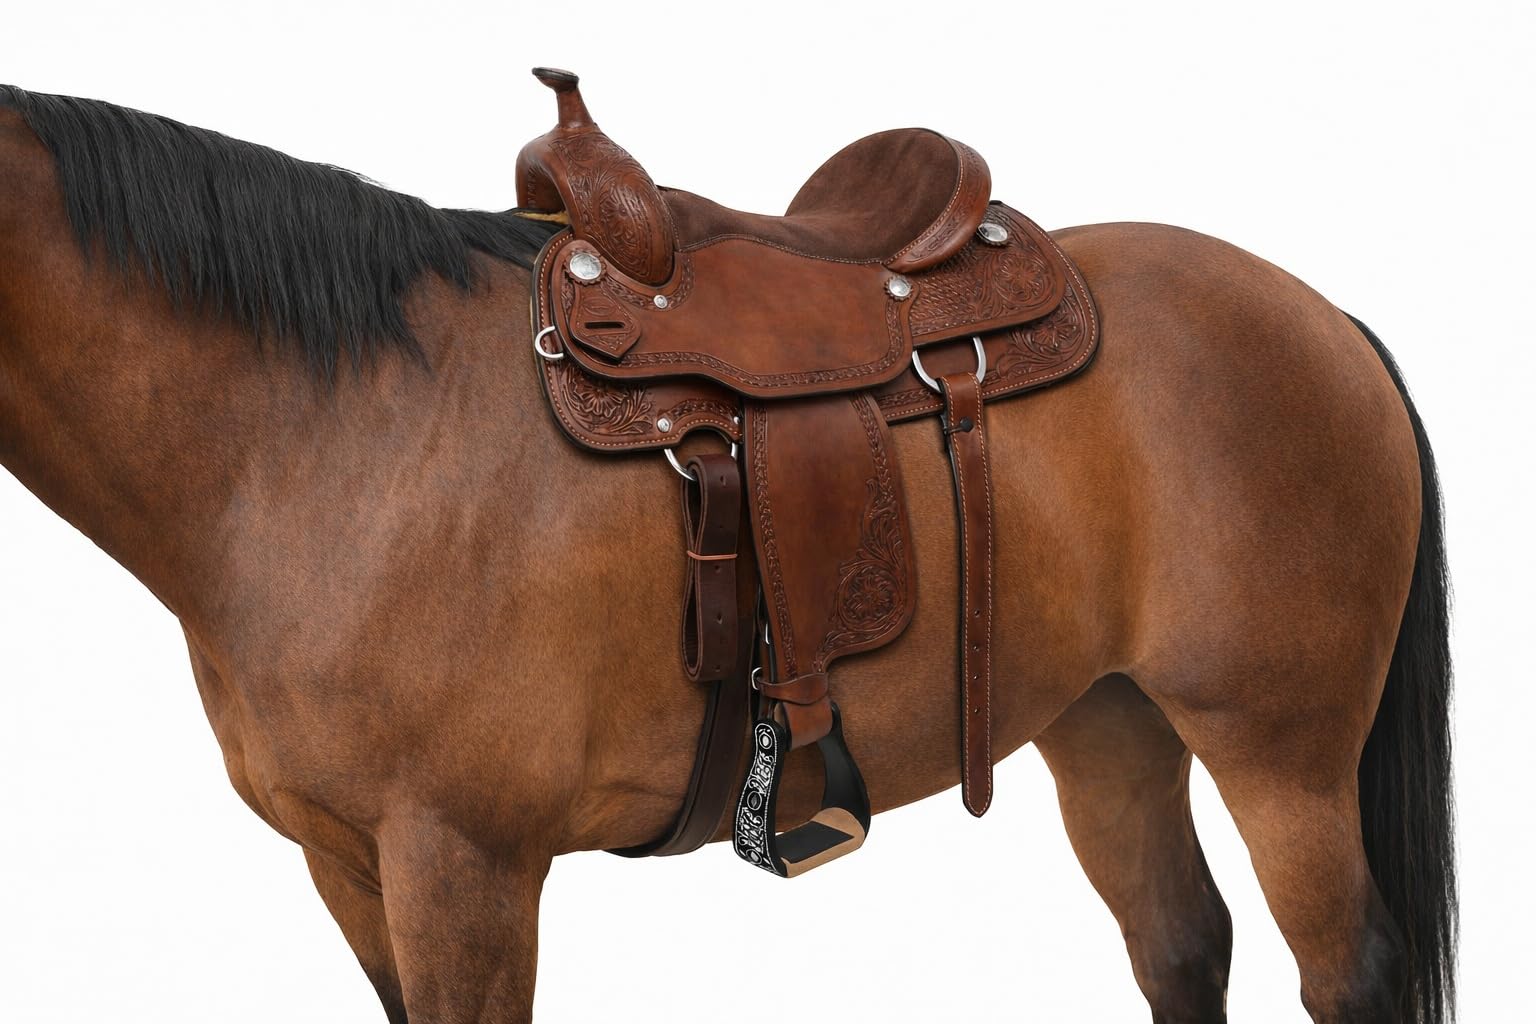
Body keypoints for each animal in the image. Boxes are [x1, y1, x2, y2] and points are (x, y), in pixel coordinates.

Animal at [0, 85, 1454, 1023]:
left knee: (1350, 975)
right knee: (1181, 948)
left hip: (1281, 752)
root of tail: (1323, 314)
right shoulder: (349, 868)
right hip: (1108, 723)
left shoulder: (463, 869)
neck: (325, 431)